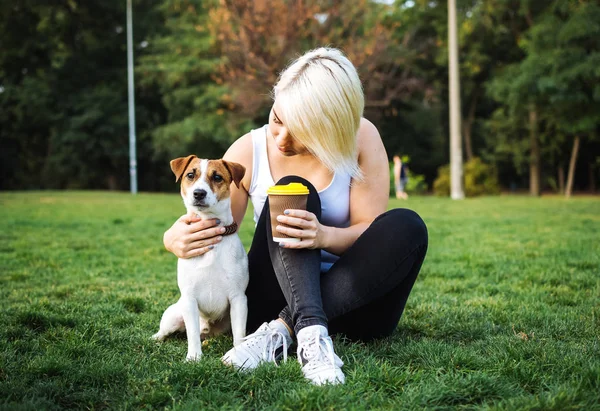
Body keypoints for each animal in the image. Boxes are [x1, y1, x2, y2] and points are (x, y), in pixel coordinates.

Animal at [155, 156, 251, 362]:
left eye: (217, 177)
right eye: (191, 175)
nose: (199, 193)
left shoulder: (238, 299)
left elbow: (239, 333)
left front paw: (237, 353)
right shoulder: (189, 299)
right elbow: (191, 333)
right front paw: (194, 357)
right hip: (174, 315)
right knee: (167, 331)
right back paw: (155, 338)